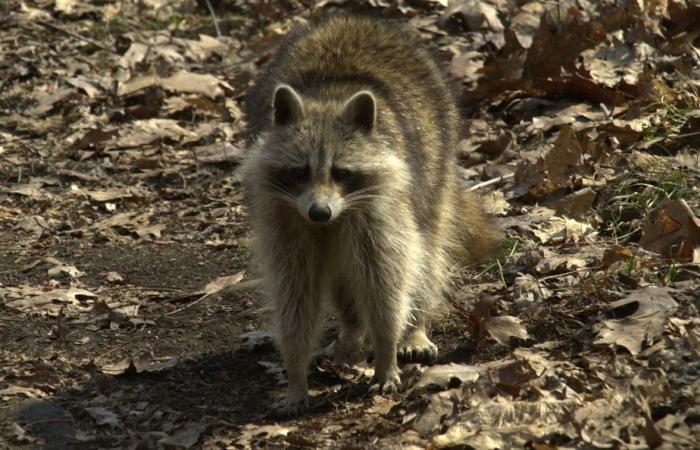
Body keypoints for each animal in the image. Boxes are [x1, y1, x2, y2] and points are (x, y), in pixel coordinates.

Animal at [241, 15, 498, 416]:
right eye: (300, 171)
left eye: (341, 172)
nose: (319, 211)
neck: (327, 99)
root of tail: (357, 19)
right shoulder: (283, 217)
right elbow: (295, 290)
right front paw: (296, 370)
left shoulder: (381, 204)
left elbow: (386, 279)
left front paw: (386, 348)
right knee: (343, 279)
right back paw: (350, 330)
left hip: (437, 160)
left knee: (425, 252)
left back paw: (414, 324)